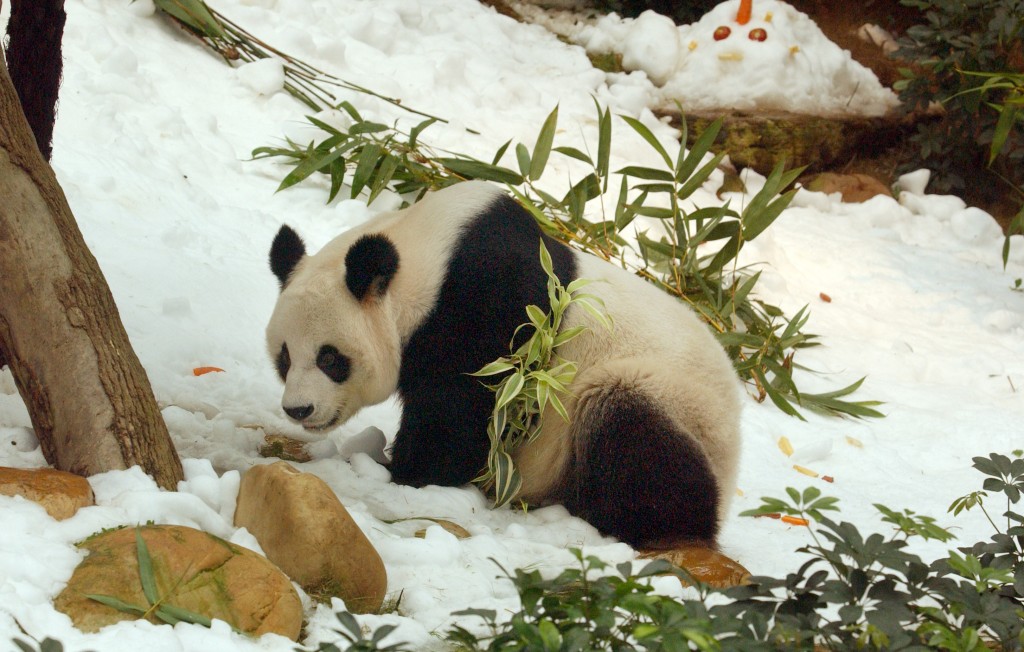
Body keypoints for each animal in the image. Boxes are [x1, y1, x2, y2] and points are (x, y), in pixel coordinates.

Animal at [268, 179, 741, 548]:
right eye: (285, 357)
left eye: (330, 358)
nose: (299, 409)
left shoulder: (494, 316)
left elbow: (459, 416)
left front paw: (401, 472)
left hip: (670, 399)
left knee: (635, 440)